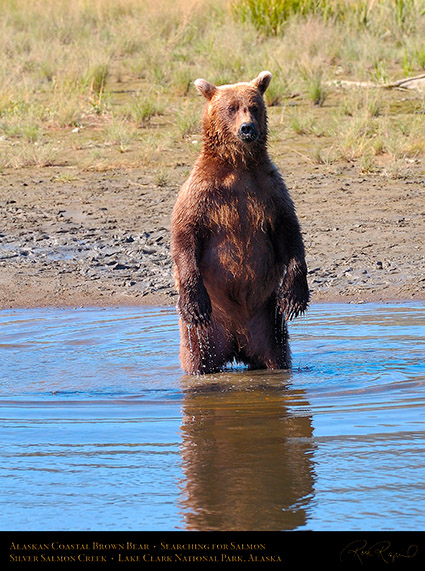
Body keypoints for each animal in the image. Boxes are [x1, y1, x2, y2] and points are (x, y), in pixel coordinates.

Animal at [170, 70, 308, 376]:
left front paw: (295, 296)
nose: (247, 129)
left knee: (278, 357)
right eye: (231, 108)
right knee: (197, 359)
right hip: (205, 332)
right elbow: (185, 235)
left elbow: (289, 233)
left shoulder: (269, 190)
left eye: (254, 107)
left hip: (269, 323)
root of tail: (236, 344)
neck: (238, 166)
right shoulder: (202, 193)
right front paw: (194, 302)